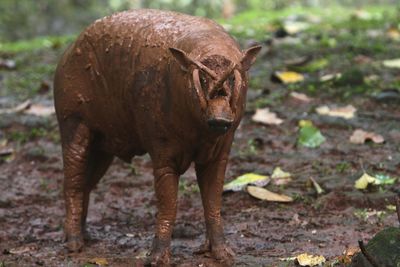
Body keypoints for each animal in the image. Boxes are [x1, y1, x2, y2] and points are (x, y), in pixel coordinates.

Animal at [54, 9, 260, 266]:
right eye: (201, 79)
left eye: (233, 78)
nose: (220, 119)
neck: (198, 134)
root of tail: (66, 53)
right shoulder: (161, 147)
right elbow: (169, 202)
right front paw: (157, 260)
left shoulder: (221, 150)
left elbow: (213, 200)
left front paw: (225, 256)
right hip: (72, 121)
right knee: (72, 182)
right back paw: (74, 245)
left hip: (102, 146)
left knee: (87, 183)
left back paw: (86, 237)